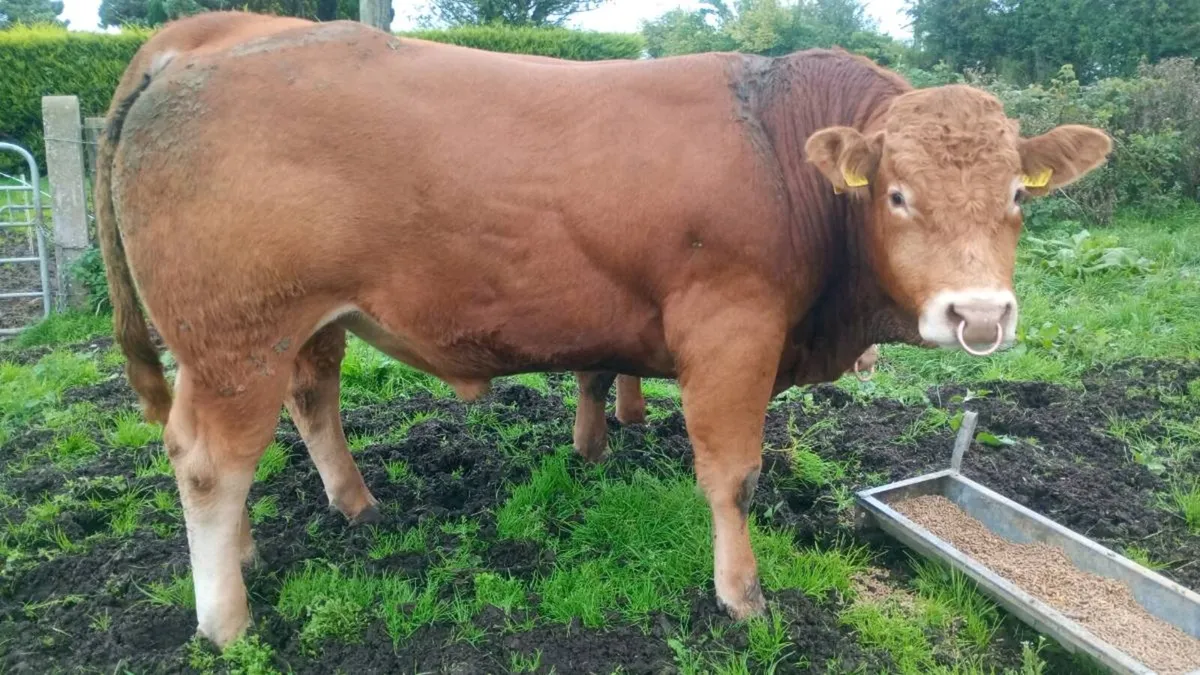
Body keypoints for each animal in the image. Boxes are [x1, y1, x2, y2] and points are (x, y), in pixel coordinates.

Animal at [95, 12, 1111, 647]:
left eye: (1018, 196)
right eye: (896, 194)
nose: (979, 314)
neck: (780, 147)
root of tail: (188, 58)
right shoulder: (732, 328)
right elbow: (734, 474)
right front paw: (741, 596)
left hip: (295, 329)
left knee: (304, 407)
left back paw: (327, 517)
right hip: (235, 339)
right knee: (208, 463)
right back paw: (226, 617)